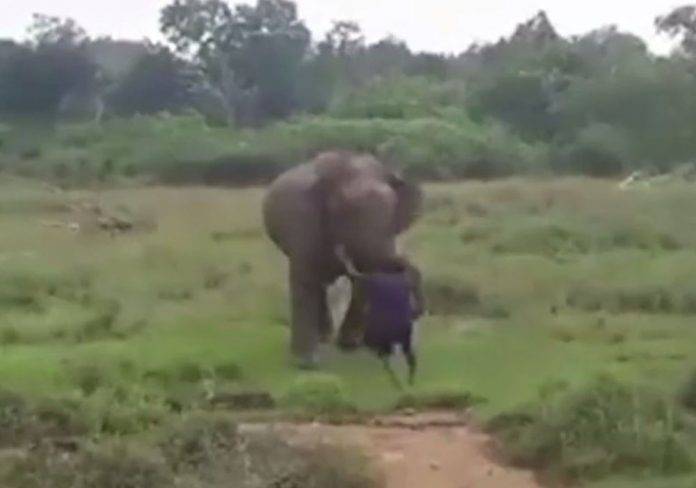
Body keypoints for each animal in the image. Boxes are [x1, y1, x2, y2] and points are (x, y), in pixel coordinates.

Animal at [263, 151, 424, 367]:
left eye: (391, 211)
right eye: (346, 211)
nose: (416, 311)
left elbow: (365, 277)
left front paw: (350, 345)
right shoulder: (302, 219)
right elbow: (305, 278)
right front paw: (306, 363)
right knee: (315, 283)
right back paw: (322, 339)